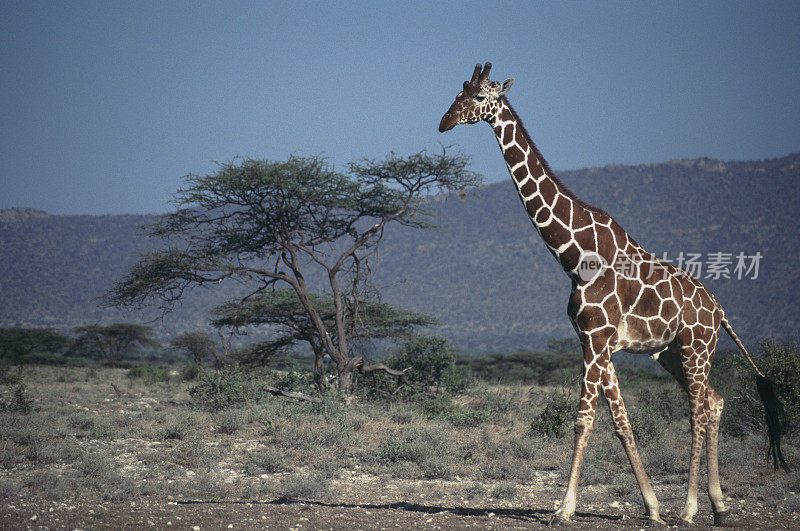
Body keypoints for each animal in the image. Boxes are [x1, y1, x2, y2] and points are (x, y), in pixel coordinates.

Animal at [438, 61, 788, 524]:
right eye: (458, 91)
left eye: (479, 97)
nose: (444, 122)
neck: (575, 256)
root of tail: (719, 310)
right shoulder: (595, 340)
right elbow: (621, 422)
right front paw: (652, 507)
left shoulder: (596, 338)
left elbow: (583, 420)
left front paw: (564, 509)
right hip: (670, 353)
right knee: (714, 401)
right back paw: (718, 506)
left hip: (696, 347)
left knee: (697, 411)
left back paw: (690, 509)